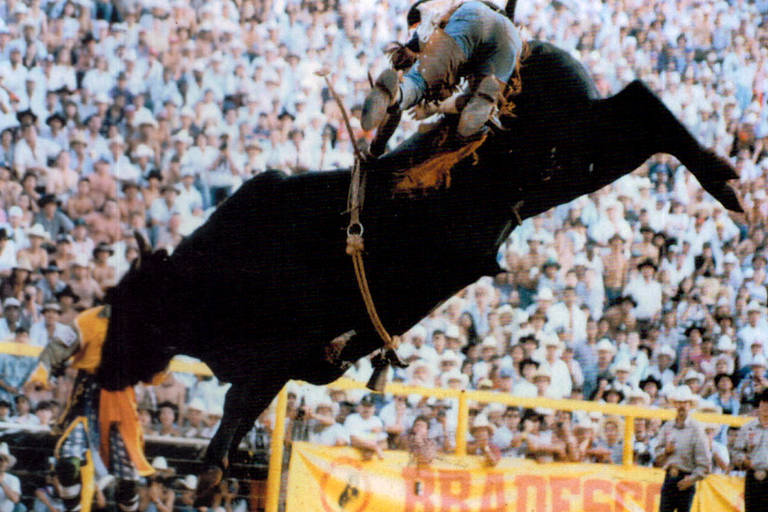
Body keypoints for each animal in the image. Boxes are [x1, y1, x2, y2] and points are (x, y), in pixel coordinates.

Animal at [93, 43, 740, 476]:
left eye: (126, 309)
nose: (99, 373)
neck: (213, 274)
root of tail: (528, 52)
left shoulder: (280, 354)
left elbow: (236, 408)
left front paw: (208, 472)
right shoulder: (291, 363)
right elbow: (241, 412)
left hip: (577, 152)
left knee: (641, 104)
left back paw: (724, 180)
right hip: (569, 168)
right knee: (637, 104)